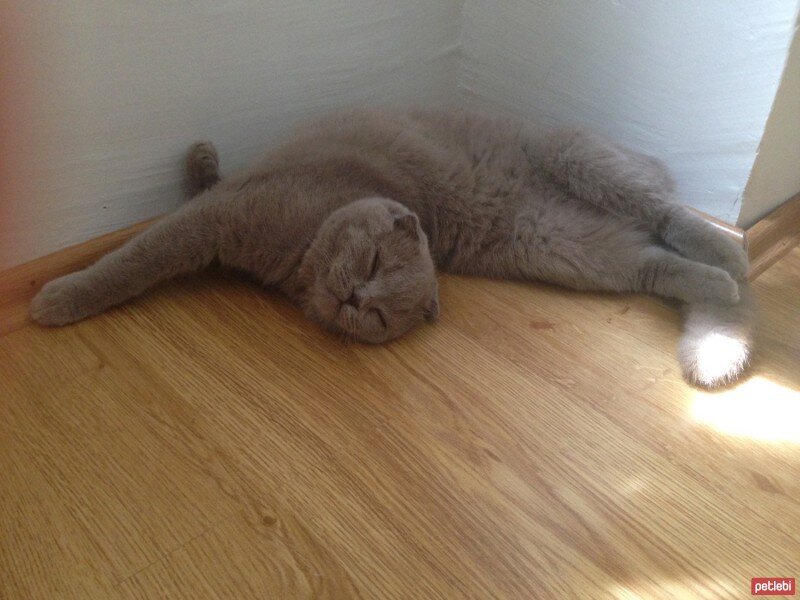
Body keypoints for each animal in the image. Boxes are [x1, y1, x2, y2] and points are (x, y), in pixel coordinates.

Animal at [31, 108, 756, 390]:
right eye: (374, 264)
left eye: (378, 313)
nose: (354, 296)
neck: (299, 254)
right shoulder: (220, 210)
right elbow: (163, 226)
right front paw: (200, 158)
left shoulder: (215, 218)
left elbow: (132, 259)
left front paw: (54, 299)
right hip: (567, 223)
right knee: (656, 247)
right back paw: (726, 273)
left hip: (576, 206)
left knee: (668, 223)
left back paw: (733, 268)